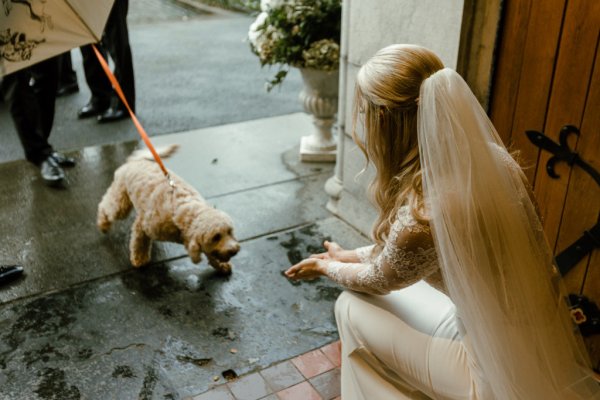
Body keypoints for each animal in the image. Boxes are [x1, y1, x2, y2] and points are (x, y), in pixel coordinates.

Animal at [96, 145, 239, 274]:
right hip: (121, 203)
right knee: (106, 206)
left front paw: (221, 265)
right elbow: (139, 243)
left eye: (230, 232)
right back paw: (103, 223)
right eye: (216, 237)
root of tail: (135, 161)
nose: (234, 250)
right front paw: (139, 259)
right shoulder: (142, 225)